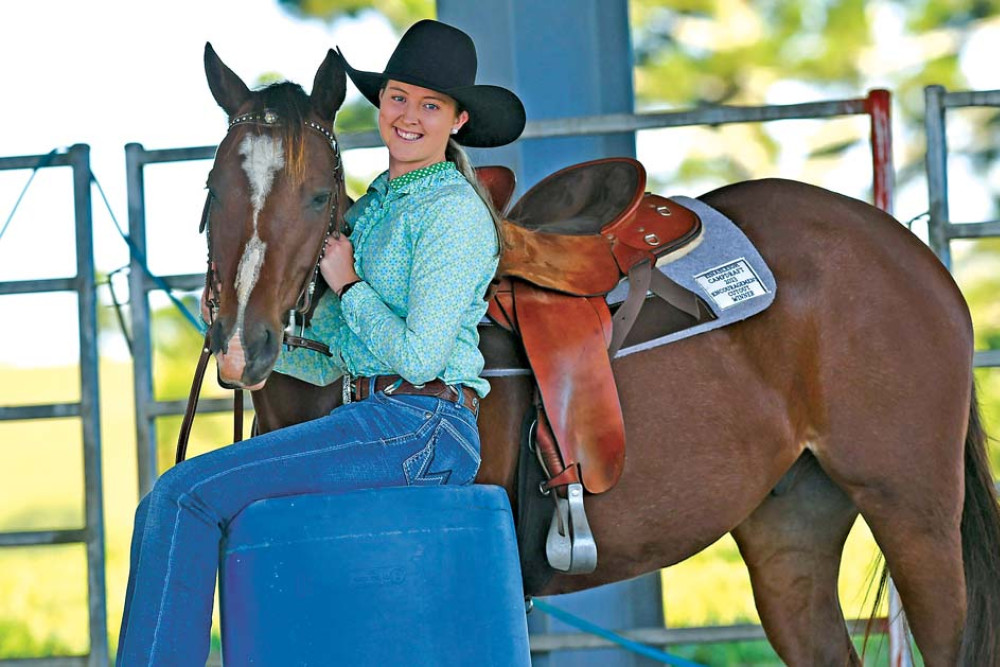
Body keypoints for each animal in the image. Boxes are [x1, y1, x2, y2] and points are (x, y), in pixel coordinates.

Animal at [195, 44, 1000, 664]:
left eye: (318, 195)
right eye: (214, 187)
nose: (240, 346)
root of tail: (909, 249)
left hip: (914, 512)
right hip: (791, 529)